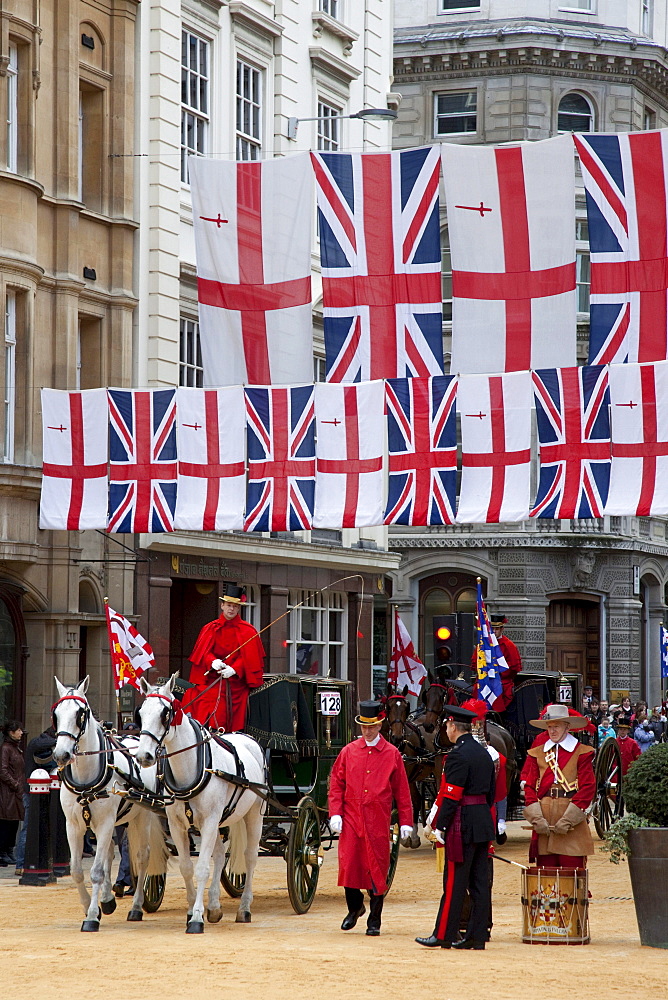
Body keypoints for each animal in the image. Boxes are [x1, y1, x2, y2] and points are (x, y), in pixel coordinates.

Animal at [53, 676, 168, 932]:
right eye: (55, 714)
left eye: (80, 714)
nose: (61, 754)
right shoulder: (73, 825)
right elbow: (77, 870)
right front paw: (91, 906)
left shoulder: (105, 821)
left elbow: (96, 871)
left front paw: (91, 917)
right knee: (108, 853)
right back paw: (107, 899)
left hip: (142, 816)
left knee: (142, 856)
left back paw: (136, 907)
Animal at [137, 676, 264, 932]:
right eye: (141, 713)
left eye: (165, 713)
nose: (144, 756)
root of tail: (246, 737)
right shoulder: (177, 825)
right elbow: (187, 867)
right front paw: (192, 911)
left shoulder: (209, 821)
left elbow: (203, 867)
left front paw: (196, 917)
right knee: (221, 855)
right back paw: (214, 906)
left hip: (254, 815)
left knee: (250, 856)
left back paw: (244, 907)